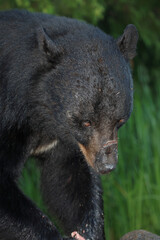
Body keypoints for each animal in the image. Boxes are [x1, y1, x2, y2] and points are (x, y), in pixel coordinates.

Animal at [0, 9, 138, 240]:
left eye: (120, 120)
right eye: (86, 121)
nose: (106, 166)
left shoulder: (66, 143)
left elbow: (68, 180)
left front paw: (88, 231)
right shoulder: (9, 118)